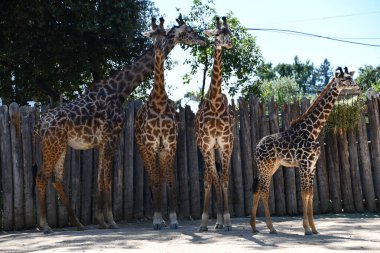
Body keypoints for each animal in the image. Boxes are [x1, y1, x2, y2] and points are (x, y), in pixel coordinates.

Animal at [34, 15, 208, 233]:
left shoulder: (103, 141)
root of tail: (40, 125)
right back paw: (45, 225)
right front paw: (110, 221)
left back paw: (78, 223)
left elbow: (101, 177)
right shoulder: (110, 137)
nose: (204, 40)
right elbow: (107, 178)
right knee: (42, 176)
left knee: (56, 179)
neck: (118, 91)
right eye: (189, 31)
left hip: (60, 146)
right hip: (53, 145)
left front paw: (102, 220)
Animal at [249, 67, 360, 235]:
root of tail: (256, 147)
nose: (357, 87)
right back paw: (271, 227)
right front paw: (306, 228)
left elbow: (311, 194)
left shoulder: (312, 165)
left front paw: (314, 228)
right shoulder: (303, 164)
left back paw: (254, 227)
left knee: (258, 189)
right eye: (343, 80)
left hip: (271, 166)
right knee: (264, 191)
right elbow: (304, 193)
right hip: (266, 166)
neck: (312, 131)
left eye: (351, 77)